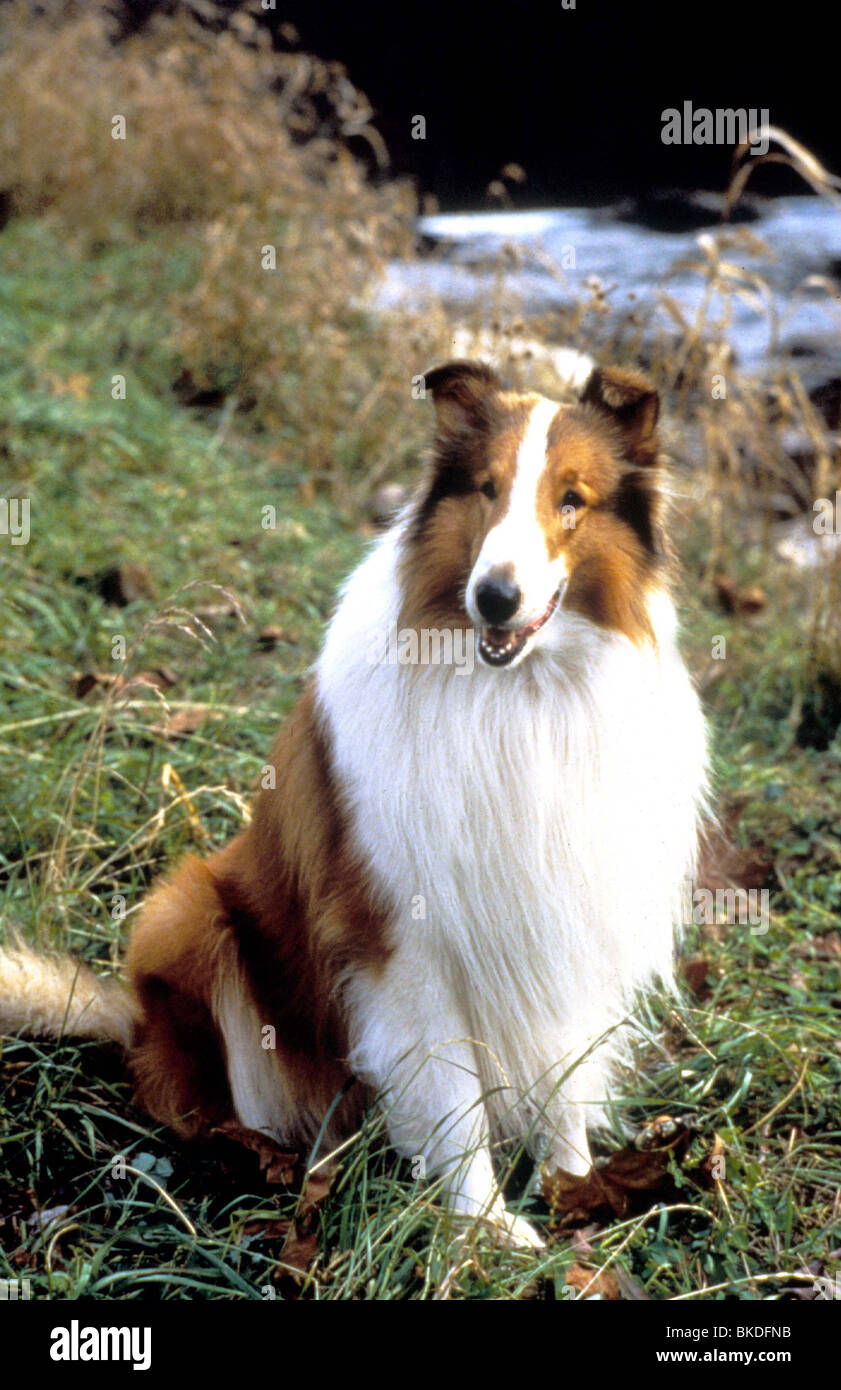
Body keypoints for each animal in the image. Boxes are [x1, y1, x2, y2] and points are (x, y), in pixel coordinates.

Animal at [1, 358, 708, 1251]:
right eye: (485, 488)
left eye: (571, 499)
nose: (494, 599)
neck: (518, 694)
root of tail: (132, 1021)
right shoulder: (403, 940)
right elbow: (454, 1096)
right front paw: (484, 1227)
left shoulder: (562, 916)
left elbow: (560, 1075)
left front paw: (575, 1185)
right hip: (188, 909)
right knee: (205, 1103)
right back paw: (263, 1156)